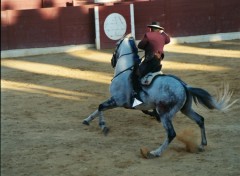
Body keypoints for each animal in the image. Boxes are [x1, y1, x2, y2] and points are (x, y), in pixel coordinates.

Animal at [82, 33, 236, 159]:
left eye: (116, 45)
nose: (112, 61)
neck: (125, 71)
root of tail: (184, 86)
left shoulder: (118, 101)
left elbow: (101, 107)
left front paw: (103, 126)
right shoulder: (119, 101)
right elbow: (99, 108)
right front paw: (87, 120)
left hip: (165, 114)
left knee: (171, 133)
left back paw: (154, 152)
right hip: (185, 109)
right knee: (200, 120)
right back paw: (202, 145)